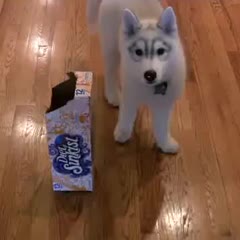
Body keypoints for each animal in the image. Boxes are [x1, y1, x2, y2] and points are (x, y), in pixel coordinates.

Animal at [87, 0, 187, 154]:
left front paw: (165, 144)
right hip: (111, 48)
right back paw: (113, 94)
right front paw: (122, 133)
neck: (150, 89)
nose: (150, 75)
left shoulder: (164, 104)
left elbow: (162, 128)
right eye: (138, 52)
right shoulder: (130, 96)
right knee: (110, 73)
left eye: (160, 51)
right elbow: (126, 116)